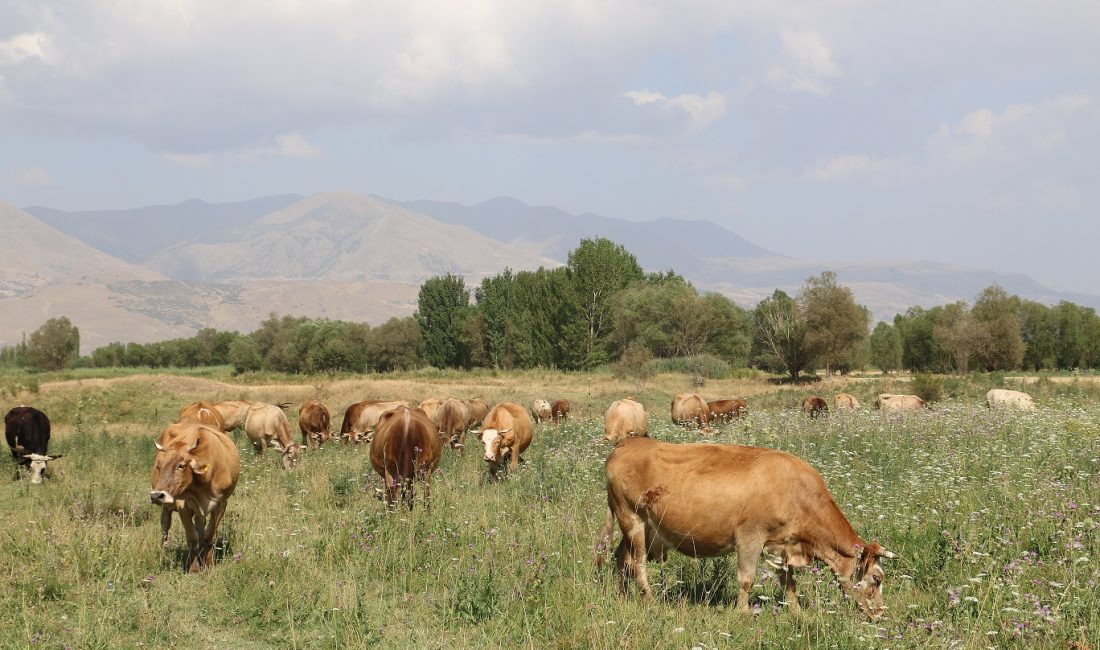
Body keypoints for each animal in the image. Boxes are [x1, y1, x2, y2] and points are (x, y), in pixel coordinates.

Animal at [149, 422, 239, 571]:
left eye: (181, 465)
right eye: (158, 466)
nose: (156, 496)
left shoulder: (221, 503)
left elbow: (209, 535)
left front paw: (209, 563)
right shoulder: (182, 504)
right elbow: (192, 537)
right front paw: (194, 568)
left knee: (200, 524)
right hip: (167, 506)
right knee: (165, 524)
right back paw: (164, 550)